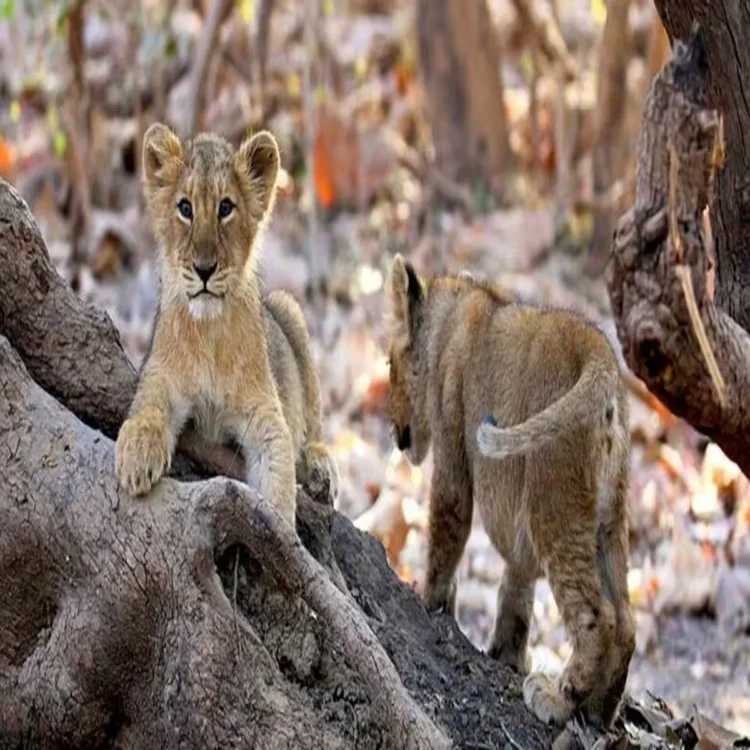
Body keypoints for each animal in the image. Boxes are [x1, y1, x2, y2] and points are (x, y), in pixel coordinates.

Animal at [115, 123, 339, 524]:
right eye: (185, 208)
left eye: (225, 208)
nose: (204, 269)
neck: (210, 332)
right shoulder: (160, 376)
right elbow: (147, 408)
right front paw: (136, 457)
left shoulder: (263, 410)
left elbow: (278, 460)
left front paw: (281, 527)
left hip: (288, 308)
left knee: (312, 419)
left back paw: (320, 466)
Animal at [386, 254, 635, 730]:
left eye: (388, 367)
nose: (393, 433)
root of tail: (598, 356)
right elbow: (516, 588)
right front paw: (506, 654)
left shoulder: (454, 455)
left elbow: (446, 533)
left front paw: (429, 600)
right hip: (610, 521)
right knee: (629, 624)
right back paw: (600, 710)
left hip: (553, 503)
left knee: (599, 618)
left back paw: (558, 699)